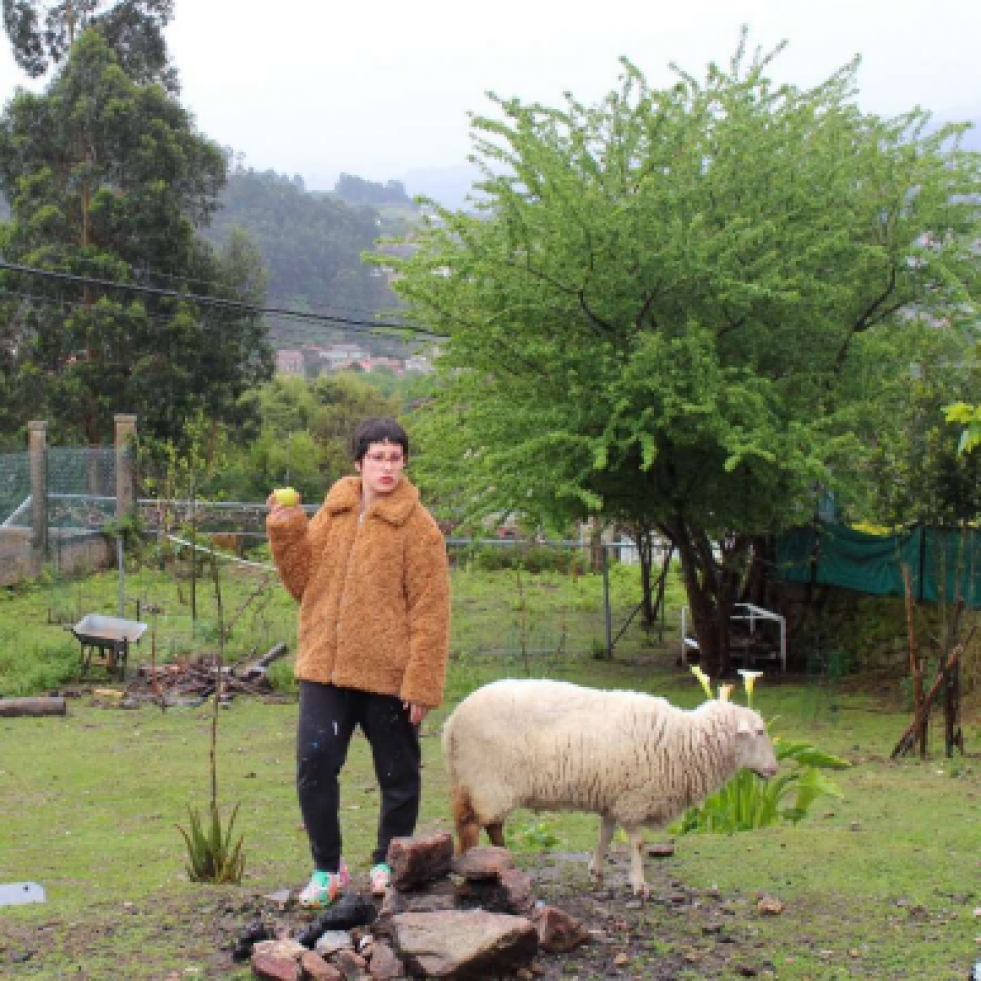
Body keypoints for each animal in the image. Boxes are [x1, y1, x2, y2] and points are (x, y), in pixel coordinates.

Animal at [440, 676, 776, 892]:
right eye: (759, 732)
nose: (774, 769)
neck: (683, 741)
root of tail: (453, 722)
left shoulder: (614, 798)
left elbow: (605, 835)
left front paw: (596, 873)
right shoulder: (634, 799)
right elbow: (637, 843)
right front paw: (639, 885)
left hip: (475, 782)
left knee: (490, 825)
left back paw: (504, 861)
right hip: (487, 781)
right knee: (474, 827)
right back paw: (474, 870)